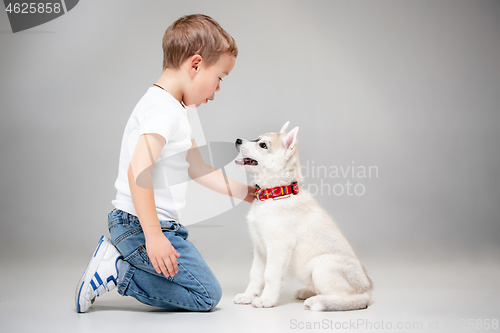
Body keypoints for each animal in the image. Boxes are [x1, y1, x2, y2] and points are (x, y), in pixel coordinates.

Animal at [233, 122, 372, 312]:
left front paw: (267, 299)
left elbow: (270, 275)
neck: (275, 194)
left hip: (322, 266)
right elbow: (255, 275)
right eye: (257, 138)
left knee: (350, 298)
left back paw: (319, 301)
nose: (238, 140)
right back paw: (307, 293)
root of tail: (368, 291)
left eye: (263, 145)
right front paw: (248, 295)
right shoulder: (260, 248)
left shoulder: (278, 246)